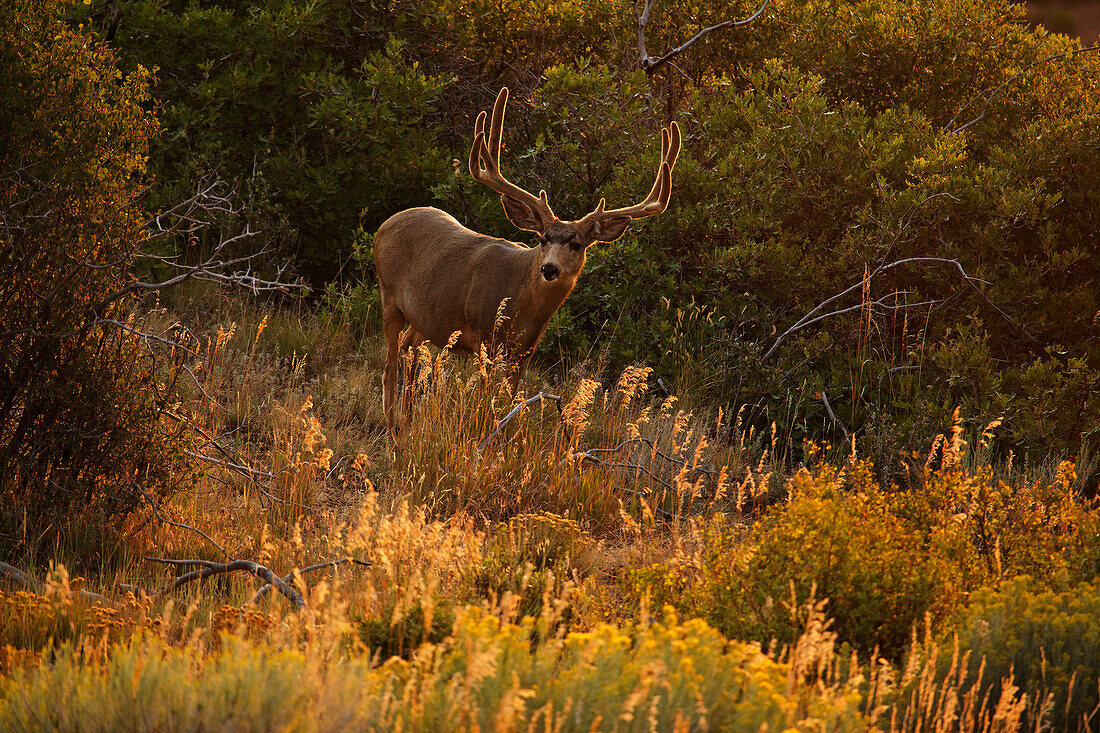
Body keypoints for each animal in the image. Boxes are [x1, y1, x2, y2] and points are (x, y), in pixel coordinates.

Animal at [376, 89, 677, 435]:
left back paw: (408, 422)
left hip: (427, 318)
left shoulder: (525, 350)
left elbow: (510, 400)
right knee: (389, 366)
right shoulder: (484, 335)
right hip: (389, 297)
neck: (521, 301)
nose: (549, 268)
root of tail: (385, 224)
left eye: (576, 243)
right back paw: (392, 429)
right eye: (542, 238)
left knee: (409, 350)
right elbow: (486, 399)